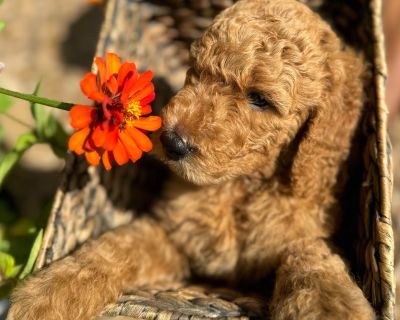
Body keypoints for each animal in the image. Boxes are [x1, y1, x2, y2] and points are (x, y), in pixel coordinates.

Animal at [7, 0, 376, 318]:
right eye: (196, 70)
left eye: (259, 99)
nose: (172, 142)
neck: (240, 187)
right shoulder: (171, 231)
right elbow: (114, 247)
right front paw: (47, 294)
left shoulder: (305, 235)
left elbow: (314, 266)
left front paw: (332, 309)